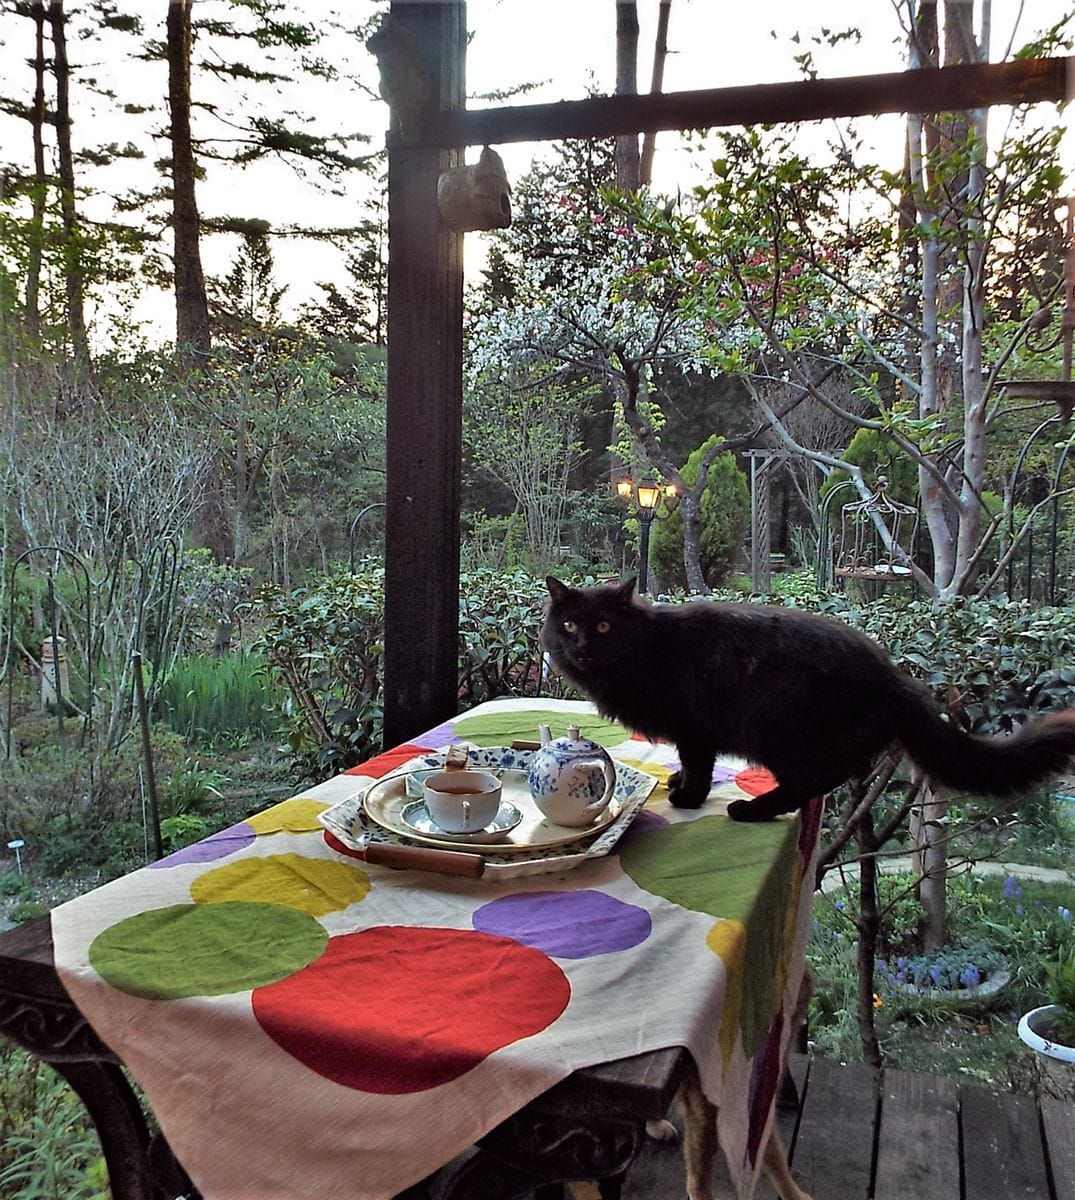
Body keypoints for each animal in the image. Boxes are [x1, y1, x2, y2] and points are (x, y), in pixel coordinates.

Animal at [542, 576, 1075, 820]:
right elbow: (691, 765)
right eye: (568, 625)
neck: (648, 648)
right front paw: (677, 783)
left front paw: (689, 798)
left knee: (811, 782)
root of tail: (892, 675)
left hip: (774, 727)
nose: (582, 646)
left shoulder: (695, 728)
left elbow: (698, 766)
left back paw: (751, 810)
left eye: (603, 626)